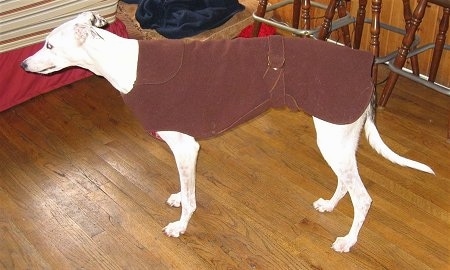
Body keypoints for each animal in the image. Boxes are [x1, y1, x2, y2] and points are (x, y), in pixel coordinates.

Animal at [20, 11, 432, 252]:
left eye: (50, 44)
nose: (23, 65)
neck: (126, 62)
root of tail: (369, 68)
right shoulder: (185, 149)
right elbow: (185, 188)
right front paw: (177, 198)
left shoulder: (186, 147)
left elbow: (191, 198)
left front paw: (181, 226)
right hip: (338, 141)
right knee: (347, 185)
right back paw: (330, 206)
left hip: (333, 140)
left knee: (363, 198)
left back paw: (348, 240)